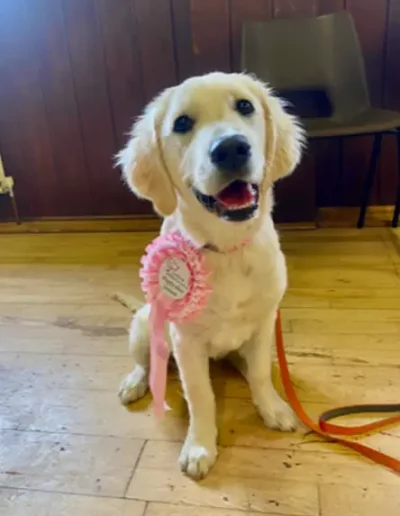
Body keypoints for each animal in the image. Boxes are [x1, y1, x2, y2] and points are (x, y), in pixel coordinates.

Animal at [115, 71, 304, 480]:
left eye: (245, 106)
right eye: (182, 123)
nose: (231, 148)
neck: (225, 248)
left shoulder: (264, 322)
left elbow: (261, 373)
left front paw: (272, 407)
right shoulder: (186, 342)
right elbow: (200, 395)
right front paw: (200, 446)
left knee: (250, 366)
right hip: (145, 325)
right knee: (145, 362)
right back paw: (135, 382)